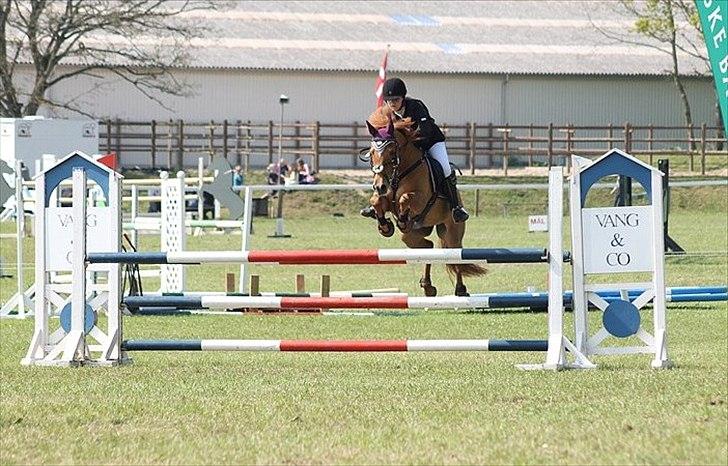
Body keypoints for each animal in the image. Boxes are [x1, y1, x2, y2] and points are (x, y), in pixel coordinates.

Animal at [360, 109, 486, 297]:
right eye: (371, 153)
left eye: (391, 152)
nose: (379, 186)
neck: (400, 172)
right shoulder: (386, 198)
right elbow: (376, 200)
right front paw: (385, 226)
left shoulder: (420, 199)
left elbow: (405, 198)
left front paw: (401, 219)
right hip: (414, 234)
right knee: (428, 247)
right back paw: (427, 286)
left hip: (452, 230)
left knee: (455, 254)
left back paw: (460, 289)